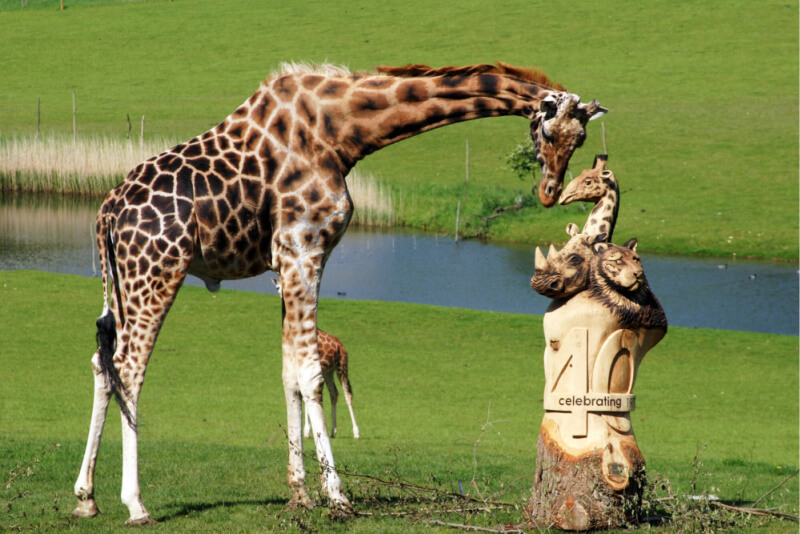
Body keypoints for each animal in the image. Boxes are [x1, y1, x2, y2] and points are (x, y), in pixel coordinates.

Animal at [72, 62, 607, 525]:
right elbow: (310, 374)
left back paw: (86, 497)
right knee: (129, 369)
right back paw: (136, 504)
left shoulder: (286, 262)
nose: (550, 191)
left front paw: (300, 493)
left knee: (102, 363)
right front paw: (336, 495)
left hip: (122, 281)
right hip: (158, 271)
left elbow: (288, 372)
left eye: (581, 139)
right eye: (548, 131)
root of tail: (108, 211)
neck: (343, 133)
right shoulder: (305, 248)